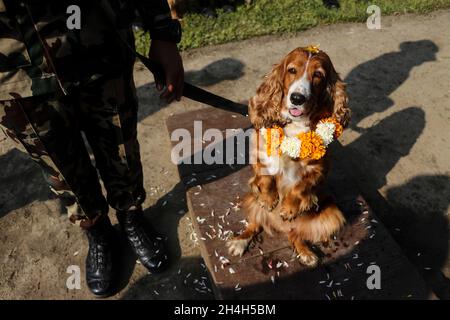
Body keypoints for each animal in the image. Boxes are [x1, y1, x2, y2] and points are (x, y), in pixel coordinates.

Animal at [227, 47, 350, 268]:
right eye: (292, 70)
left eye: (318, 75)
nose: (297, 98)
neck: (294, 125)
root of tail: (280, 228)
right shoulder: (259, 155)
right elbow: (266, 179)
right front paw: (269, 200)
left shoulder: (319, 169)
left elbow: (300, 187)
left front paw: (288, 209)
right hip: (250, 198)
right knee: (256, 223)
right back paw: (240, 241)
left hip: (333, 214)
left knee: (295, 234)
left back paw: (306, 253)